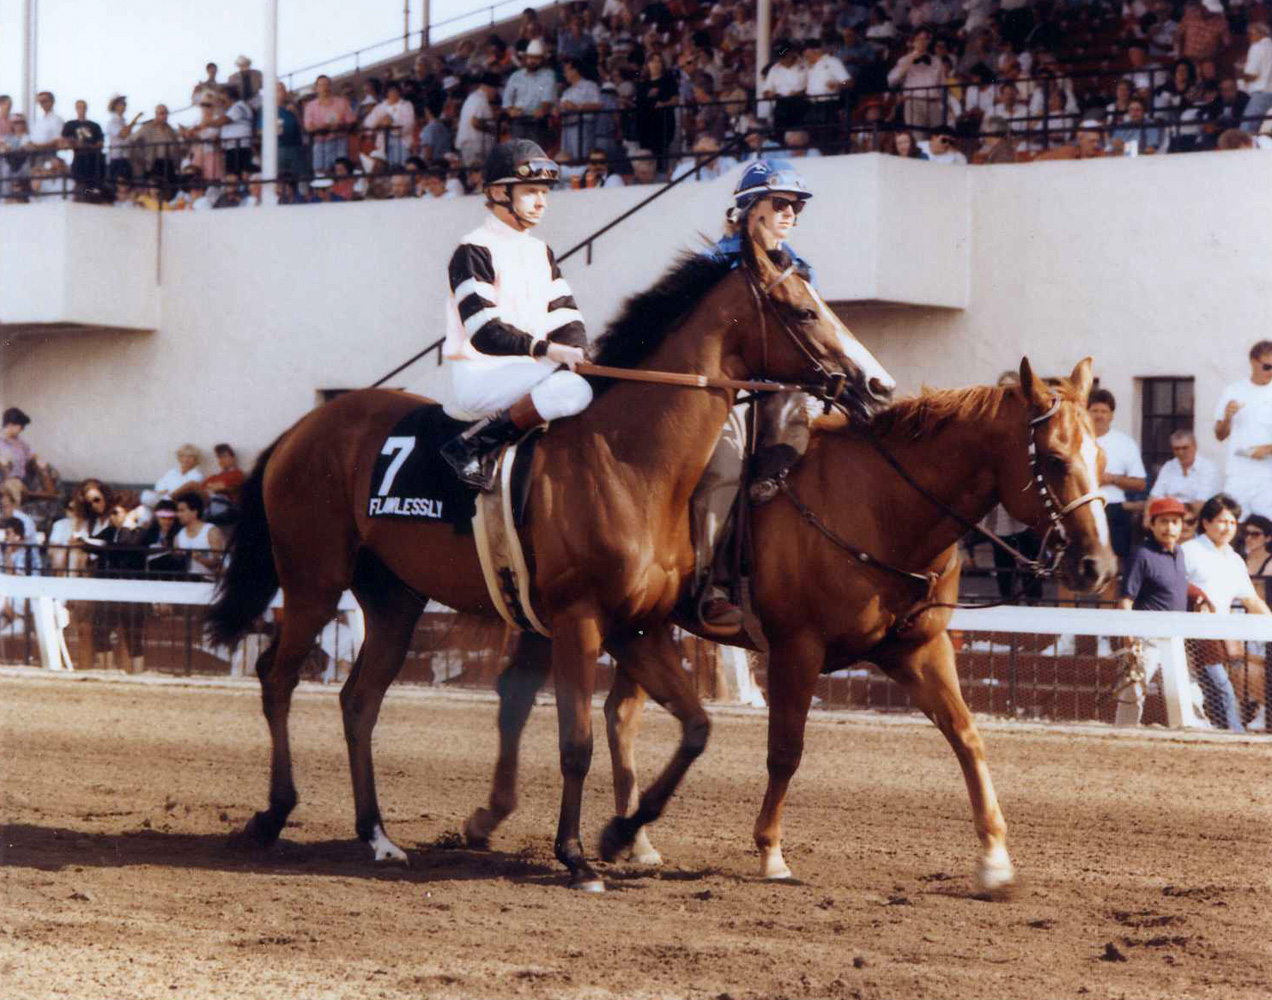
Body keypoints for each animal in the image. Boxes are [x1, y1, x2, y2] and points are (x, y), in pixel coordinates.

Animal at [206, 231, 895, 890]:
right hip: (313, 580)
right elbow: (577, 743)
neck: (629, 460)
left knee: (359, 702)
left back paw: (377, 837)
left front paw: (621, 834)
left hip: (393, 598)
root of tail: (307, 425)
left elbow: (695, 728)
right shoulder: (579, 620)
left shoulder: (637, 626)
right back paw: (273, 813)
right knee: (276, 676)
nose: (878, 386)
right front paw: (577, 857)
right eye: (804, 310)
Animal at [475, 353, 1114, 890]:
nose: (1099, 565)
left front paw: (994, 859)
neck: (878, 505)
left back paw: (628, 836)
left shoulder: (920, 650)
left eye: (1101, 458)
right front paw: (771, 851)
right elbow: (786, 750)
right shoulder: (796, 649)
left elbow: (967, 737)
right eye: (1054, 460)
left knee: (614, 714)